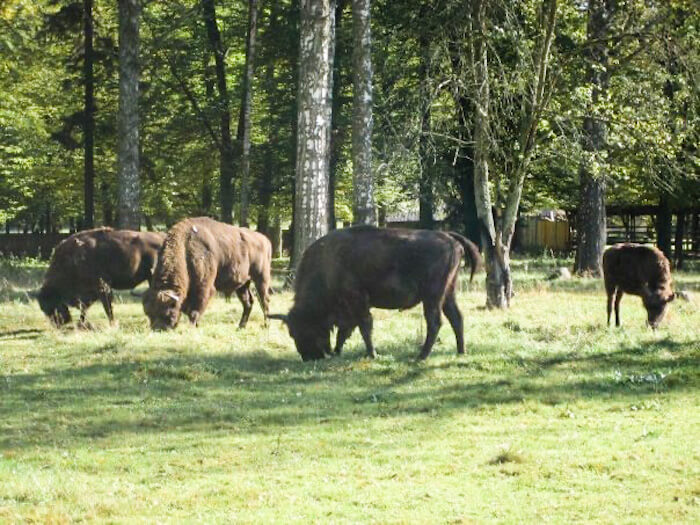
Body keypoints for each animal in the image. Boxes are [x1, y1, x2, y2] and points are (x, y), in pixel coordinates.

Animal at [35, 228, 165, 328]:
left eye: (52, 303)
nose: (57, 324)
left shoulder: (103, 288)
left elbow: (106, 307)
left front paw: (112, 324)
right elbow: (85, 307)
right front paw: (81, 323)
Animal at [142, 217, 272, 330]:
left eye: (168, 311)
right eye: (149, 313)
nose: (158, 329)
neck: (185, 247)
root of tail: (265, 240)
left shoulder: (203, 288)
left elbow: (194, 311)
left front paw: (192, 327)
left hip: (261, 278)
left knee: (264, 300)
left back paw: (265, 326)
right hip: (243, 284)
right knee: (248, 303)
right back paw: (241, 326)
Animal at [271, 226, 482, 361]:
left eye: (305, 329)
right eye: (291, 333)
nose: (309, 357)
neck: (328, 264)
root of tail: (449, 237)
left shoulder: (357, 301)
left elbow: (364, 327)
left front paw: (372, 354)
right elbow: (345, 331)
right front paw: (339, 352)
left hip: (432, 296)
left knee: (435, 322)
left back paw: (421, 356)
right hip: (448, 293)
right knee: (456, 318)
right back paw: (461, 352)